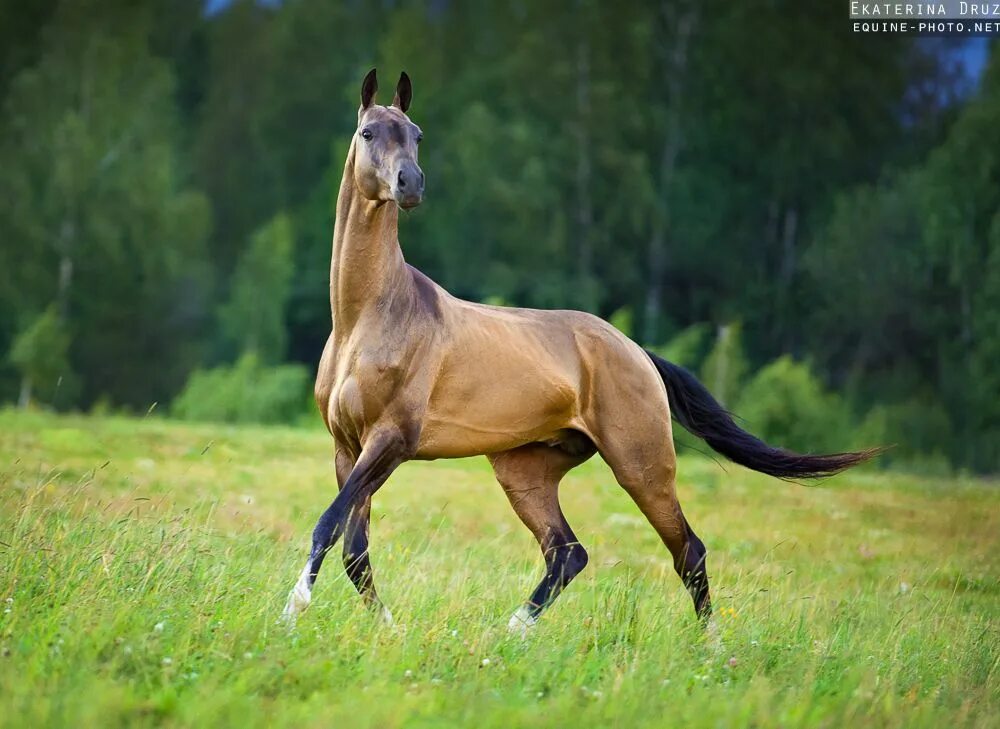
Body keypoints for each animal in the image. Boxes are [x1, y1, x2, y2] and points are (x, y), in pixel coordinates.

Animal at [282, 69, 876, 632]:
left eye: (417, 134)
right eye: (368, 132)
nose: (410, 183)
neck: (369, 318)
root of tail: (637, 352)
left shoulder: (390, 442)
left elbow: (328, 526)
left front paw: (293, 612)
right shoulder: (348, 448)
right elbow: (353, 549)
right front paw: (387, 628)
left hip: (642, 466)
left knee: (688, 550)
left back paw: (712, 650)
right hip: (525, 473)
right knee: (566, 553)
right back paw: (509, 633)